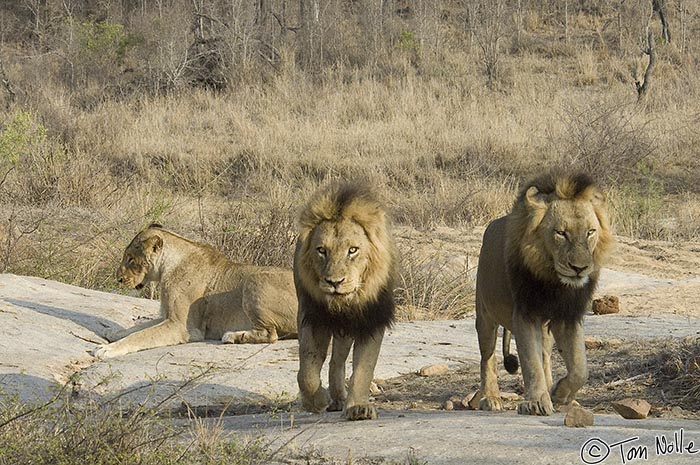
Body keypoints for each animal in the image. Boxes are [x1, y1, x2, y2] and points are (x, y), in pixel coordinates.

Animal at [92, 223, 296, 358]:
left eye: (131, 259)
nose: (118, 278)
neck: (167, 266)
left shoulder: (182, 326)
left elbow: (141, 335)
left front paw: (107, 349)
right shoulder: (167, 316)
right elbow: (137, 328)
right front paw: (113, 332)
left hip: (255, 279)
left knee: (271, 335)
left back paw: (232, 336)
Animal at [292, 182, 396, 420]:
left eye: (353, 250)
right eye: (321, 250)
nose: (334, 282)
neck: (345, 304)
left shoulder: (371, 321)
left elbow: (363, 370)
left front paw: (357, 408)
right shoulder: (313, 317)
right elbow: (307, 371)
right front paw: (317, 401)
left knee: (337, 361)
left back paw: (340, 398)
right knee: (330, 360)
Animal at [476, 172, 612, 416]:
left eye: (590, 232)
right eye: (561, 233)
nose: (579, 268)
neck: (555, 283)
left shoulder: (568, 315)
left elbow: (580, 368)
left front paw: (559, 394)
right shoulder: (525, 313)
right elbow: (531, 362)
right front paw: (536, 403)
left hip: (545, 328)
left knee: (546, 356)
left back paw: (557, 394)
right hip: (484, 314)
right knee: (487, 357)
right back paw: (490, 398)